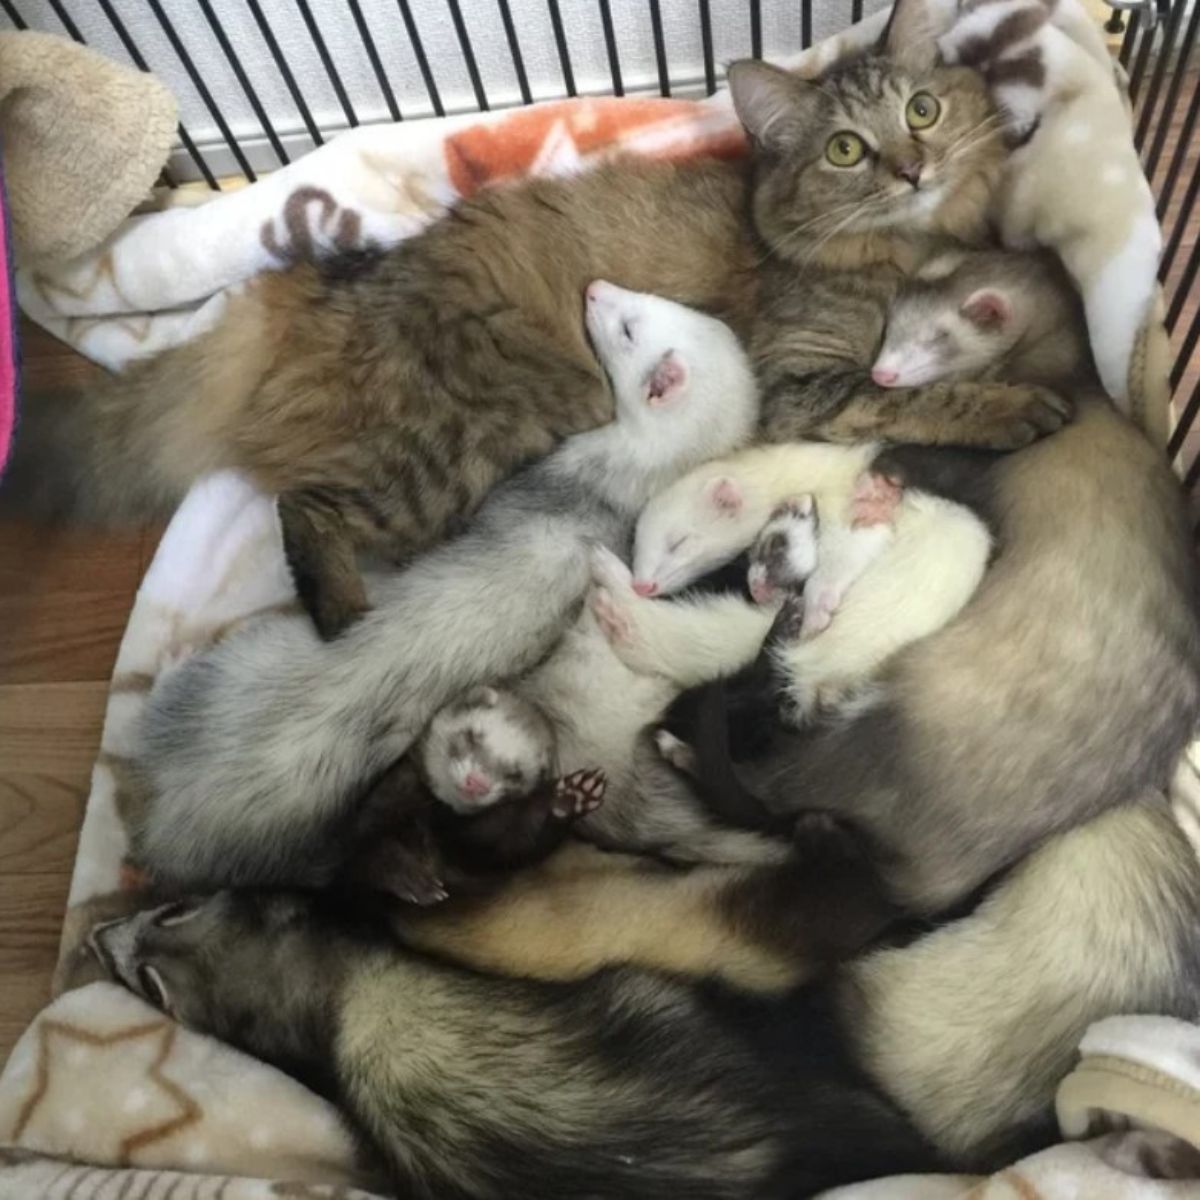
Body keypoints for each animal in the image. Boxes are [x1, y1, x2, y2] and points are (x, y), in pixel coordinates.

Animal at [7, 0, 1060, 638]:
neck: (901, 247)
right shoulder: (800, 387)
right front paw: (1014, 405)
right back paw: (345, 617)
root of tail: (311, 295)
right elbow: (913, 395)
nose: (913, 169)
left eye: (921, 111)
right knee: (306, 508)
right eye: (847, 148)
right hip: (467, 439)